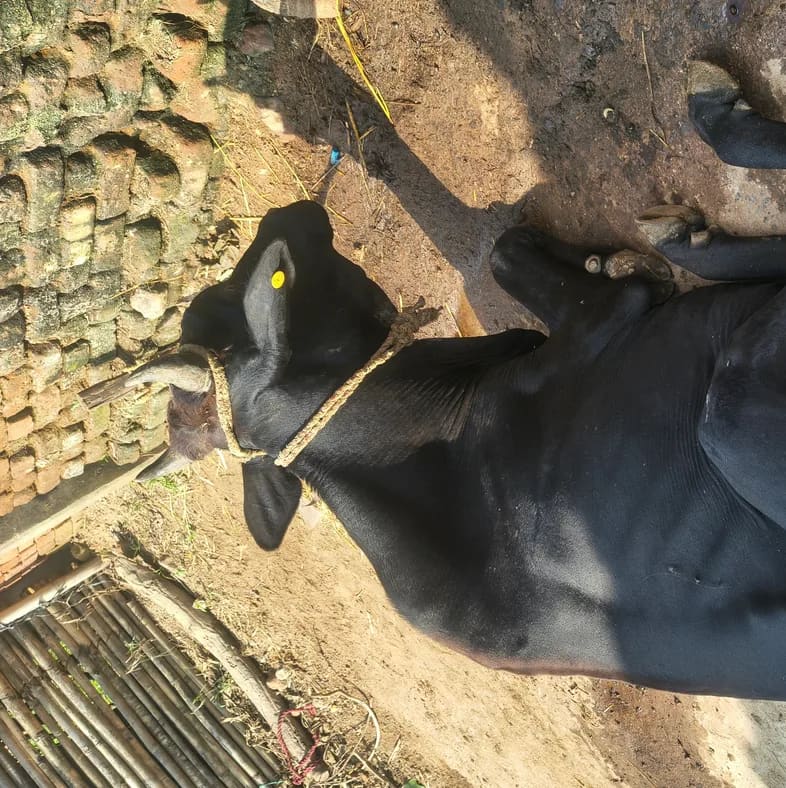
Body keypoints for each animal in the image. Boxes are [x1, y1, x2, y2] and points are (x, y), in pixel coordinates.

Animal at [84, 61, 786, 700]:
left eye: (217, 303)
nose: (285, 217)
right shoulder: (605, 324)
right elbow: (507, 250)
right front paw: (636, 256)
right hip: (730, 406)